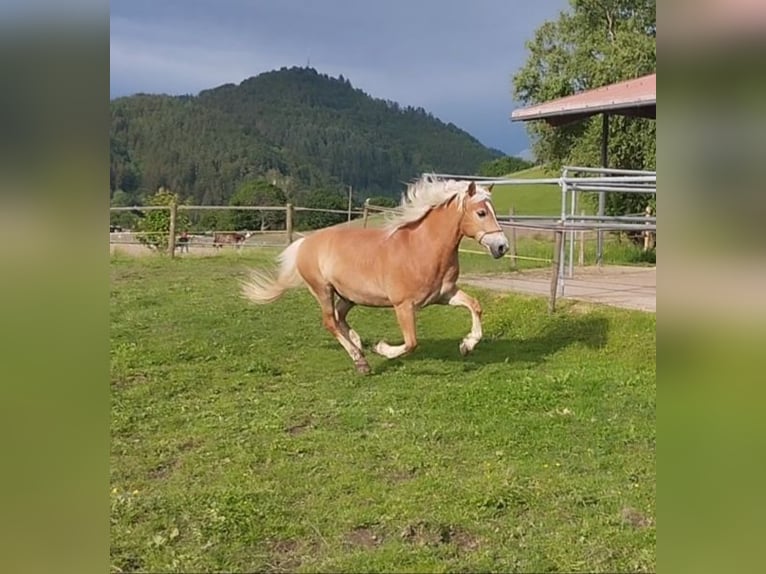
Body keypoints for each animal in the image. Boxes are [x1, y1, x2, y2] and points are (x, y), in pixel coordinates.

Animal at [243, 180, 512, 378]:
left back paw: (357, 344)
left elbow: (475, 306)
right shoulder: (404, 305)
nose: (502, 247)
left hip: (349, 296)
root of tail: (304, 243)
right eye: (481, 212)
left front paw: (467, 345)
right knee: (330, 322)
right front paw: (382, 349)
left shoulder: (445, 294)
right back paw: (360, 360)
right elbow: (411, 342)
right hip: (323, 290)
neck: (421, 248)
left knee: (340, 318)